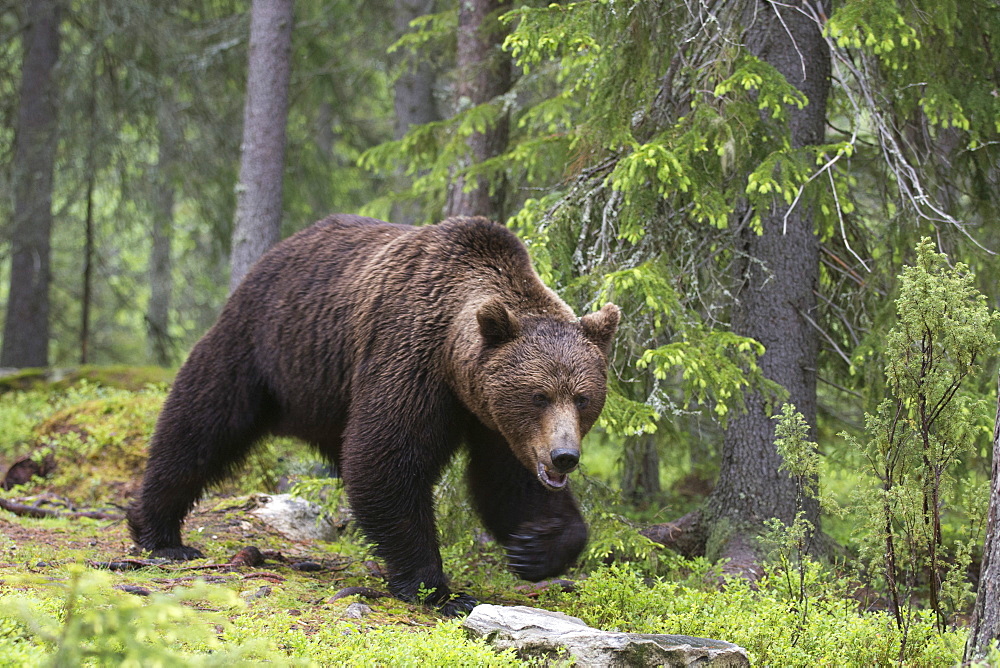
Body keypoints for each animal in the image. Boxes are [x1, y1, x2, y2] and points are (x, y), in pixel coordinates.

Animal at [129, 215, 620, 616]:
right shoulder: (411, 357)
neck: (456, 368)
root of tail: (277, 251)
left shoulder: (492, 419)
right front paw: (441, 591)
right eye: (539, 395)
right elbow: (385, 461)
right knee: (201, 424)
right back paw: (161, 535)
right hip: (264, 349)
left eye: (582, 397)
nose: (564, 457)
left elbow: (506, 481)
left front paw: (535, 546)